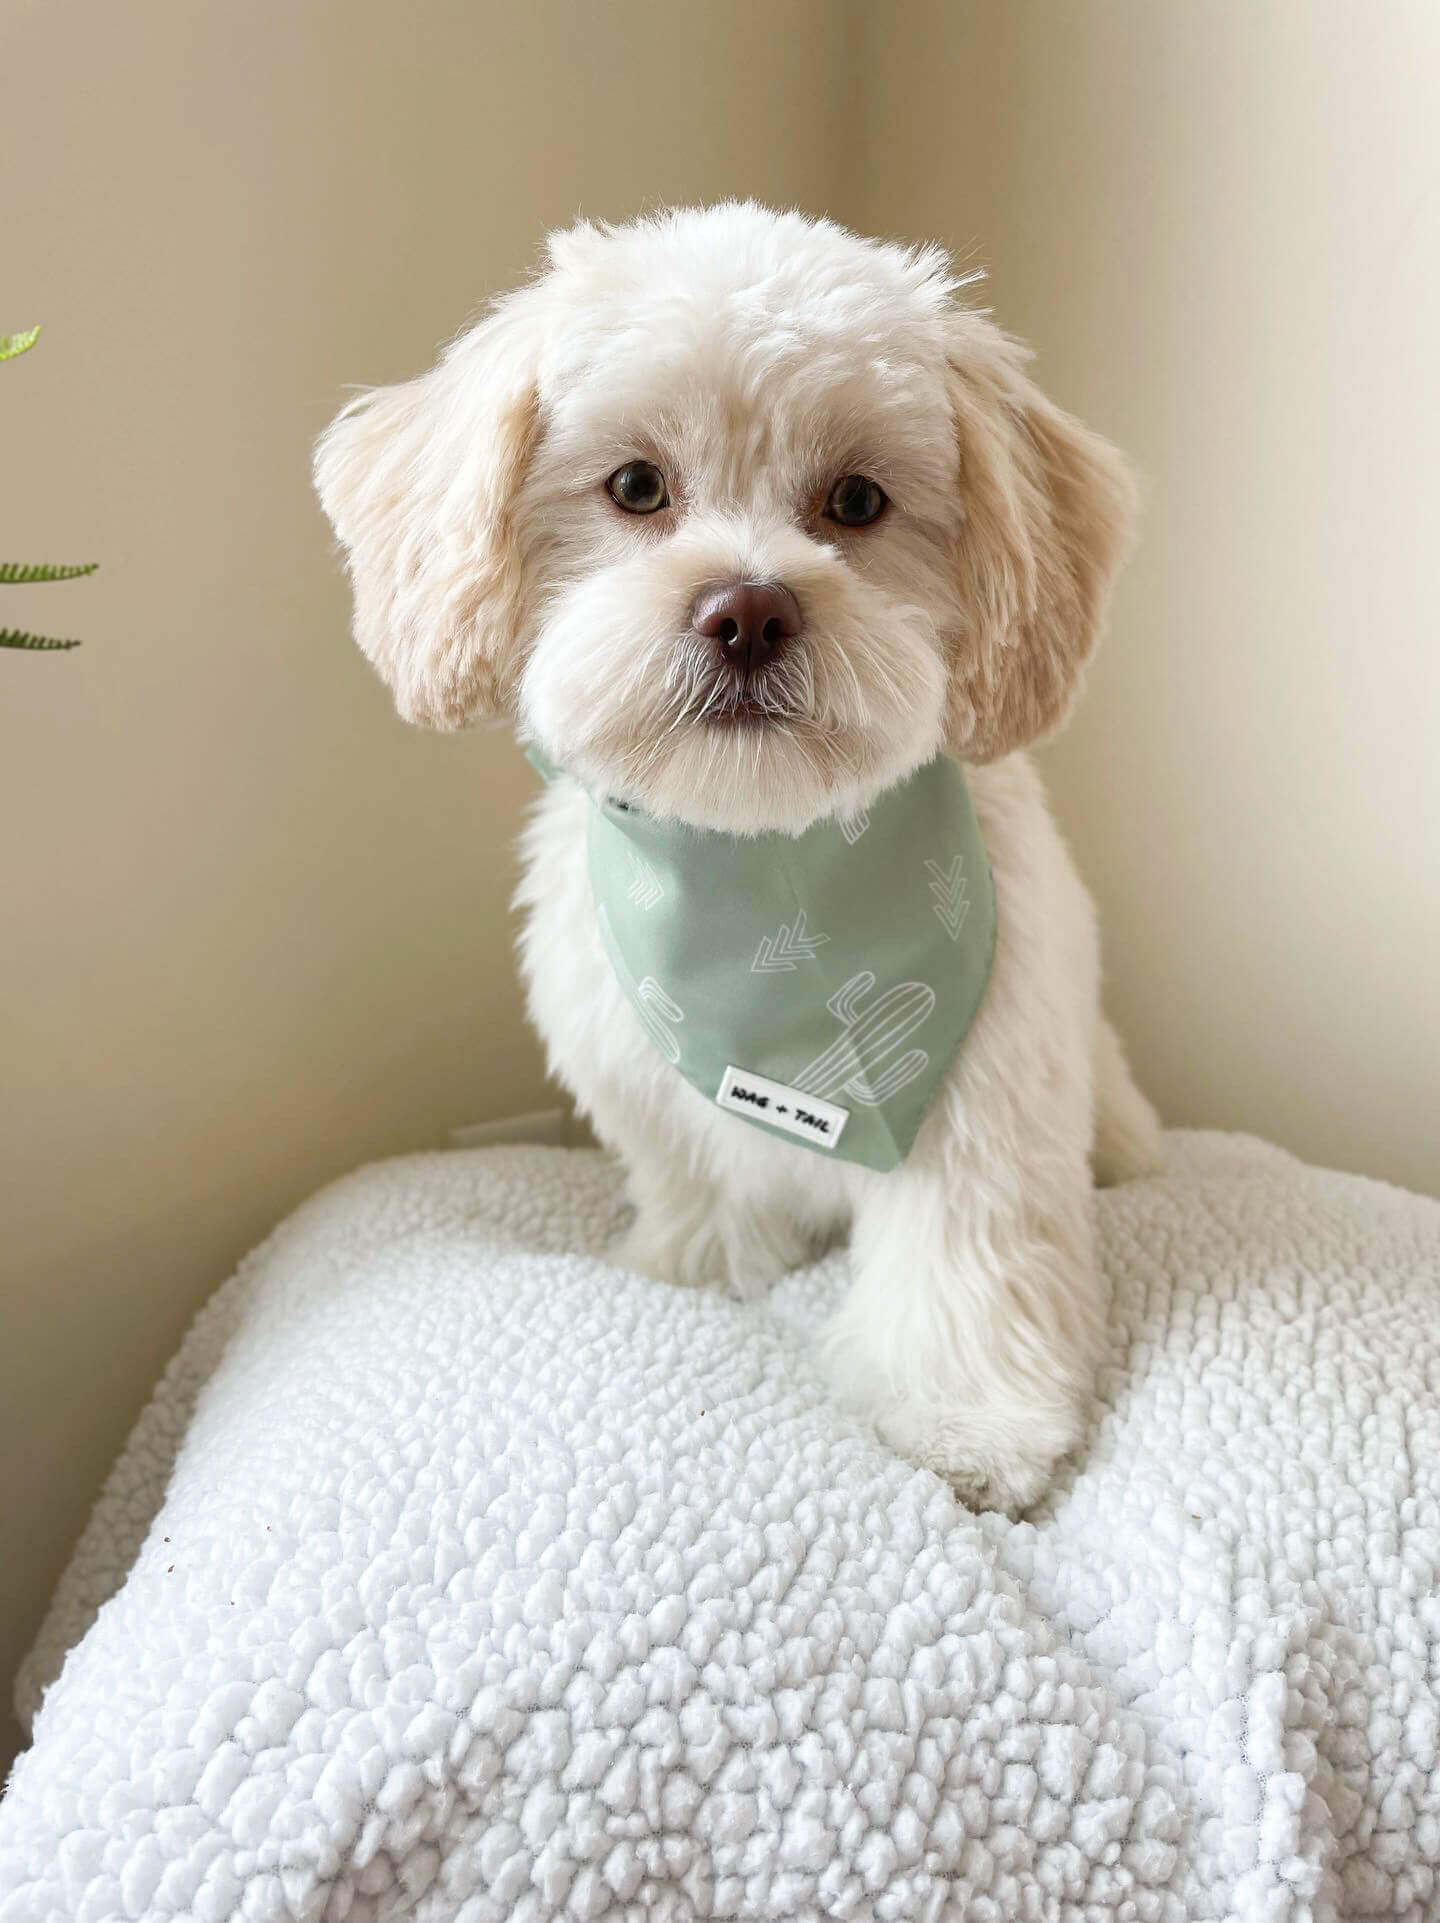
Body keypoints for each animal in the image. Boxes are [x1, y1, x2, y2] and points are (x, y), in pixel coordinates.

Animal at [311, 199, 1153, 1515]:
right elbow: (697, 1188)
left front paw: (965, 1423)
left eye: (856, 501)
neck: (767, 875)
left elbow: (962, 1262)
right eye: (635, 486)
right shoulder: (642, 1069)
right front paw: (700, 1271)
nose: (748, 611)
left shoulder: (986, 1100)